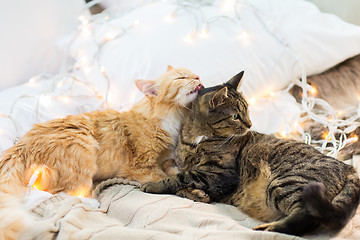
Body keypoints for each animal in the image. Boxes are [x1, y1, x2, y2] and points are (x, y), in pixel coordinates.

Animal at [0, 64, 202, 239]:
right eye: (181, 77)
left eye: (193, 74)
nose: (198, 77)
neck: (172, 119)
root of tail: (20, 144)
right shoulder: (142, 167)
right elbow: (169, 180)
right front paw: (195, 192)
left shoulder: (167, 161)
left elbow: (180, 174)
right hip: (83, 147)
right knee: (66, 193)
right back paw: (92, 202)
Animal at [142, 71, 360, 236]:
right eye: (235, 116)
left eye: (247, 111)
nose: (249, 124)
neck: (196, 139)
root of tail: (349, 169)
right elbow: (182, 179)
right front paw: (196, 194)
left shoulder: (219, 173)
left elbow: (178, 178)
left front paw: (152, 185)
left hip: (287, 183)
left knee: (308, 216)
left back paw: (269, 228)